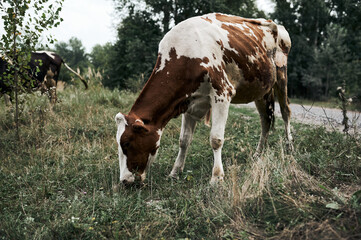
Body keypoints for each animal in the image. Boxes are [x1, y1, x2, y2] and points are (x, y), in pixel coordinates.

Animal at [115, 13, 292, 184]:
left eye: (127, 143)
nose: (124, 180)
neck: (186, 53)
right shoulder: (188, 101)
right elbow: (184, 140)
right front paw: (175, 172)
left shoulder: (222, 93)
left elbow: (216, 139)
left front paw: (217, 177)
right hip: (262, 90)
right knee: (265, 120)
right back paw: (258, 154)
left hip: (281, 76)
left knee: (285, 112)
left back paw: (289, 147)